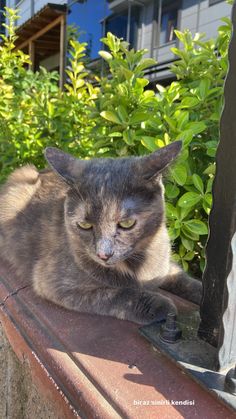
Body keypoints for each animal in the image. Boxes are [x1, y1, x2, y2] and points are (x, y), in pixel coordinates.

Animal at [0, 143, 202, 324]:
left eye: (126, 223)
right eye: (84, 225)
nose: (104, 254)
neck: (140, 265)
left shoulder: (164, 265)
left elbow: (184, 280)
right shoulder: (54, 282)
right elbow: (113, 294)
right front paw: (158, 305)